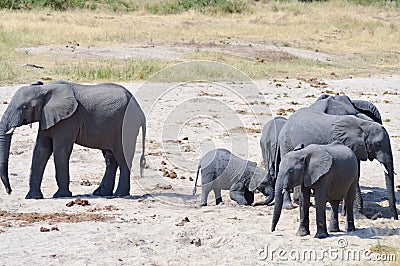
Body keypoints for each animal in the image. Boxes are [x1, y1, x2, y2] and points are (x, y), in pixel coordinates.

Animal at [0, 81, 147, 200]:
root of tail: (140, 112)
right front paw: (32, 197)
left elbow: (60, 150)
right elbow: (41, 150)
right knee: (110, 158)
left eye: (24, 108)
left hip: (126, 126)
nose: (9, 191)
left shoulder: (68, 120)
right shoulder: (47, 117)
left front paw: (61, 195)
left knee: (122, 157)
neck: (45, 89)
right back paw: (101, 193)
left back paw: (120, 194)